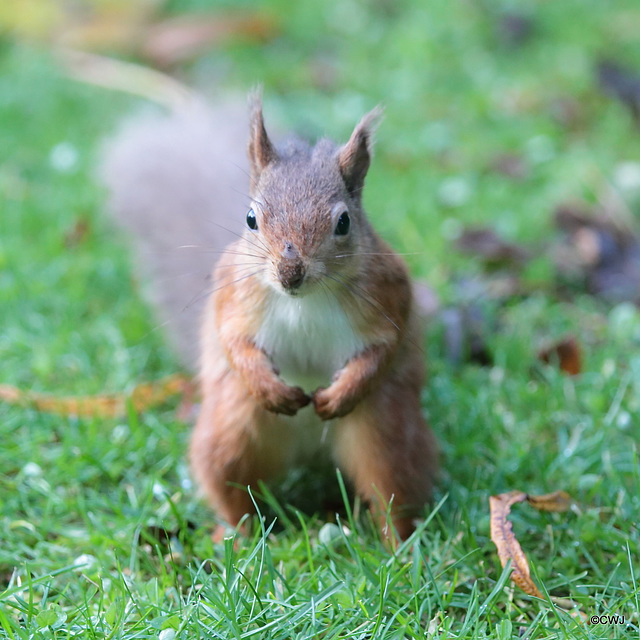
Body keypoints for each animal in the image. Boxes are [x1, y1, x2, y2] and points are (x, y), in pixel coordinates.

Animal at [101, 92, 440, 536]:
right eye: (250, 219)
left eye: (344, 222)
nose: (290, 272)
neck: (303, 301)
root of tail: (310, 452)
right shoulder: (233, 300)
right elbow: (233, 341)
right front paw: (269, 387)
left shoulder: (387, 296)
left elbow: (382, 350)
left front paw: (339, 395)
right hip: (231, 435)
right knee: (232, 490)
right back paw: (235, 534)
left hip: (387, 437)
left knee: (392, 492)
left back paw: (398, 542)